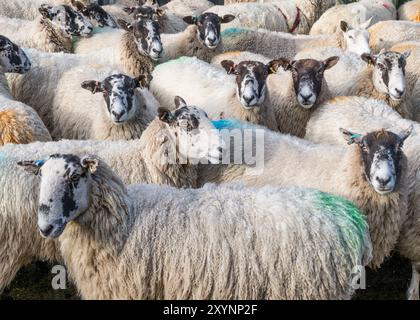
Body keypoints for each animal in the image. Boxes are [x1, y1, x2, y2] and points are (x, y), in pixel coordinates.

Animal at [304, 95, 420, 300]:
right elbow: (417, 266)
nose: (383, 180)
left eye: (400, 147)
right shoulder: (414, 230)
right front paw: (414, 292)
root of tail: (335, 100)